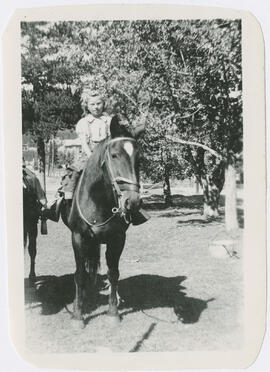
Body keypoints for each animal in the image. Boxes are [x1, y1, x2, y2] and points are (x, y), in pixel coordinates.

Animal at [61, 123, 141, 326]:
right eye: (114, 155)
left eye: (139, 158)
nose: (132, 202)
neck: (98, 200)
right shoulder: (78, 238)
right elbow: (79, 274)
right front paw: (77, 315)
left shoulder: (118, 239)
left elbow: (113, 273)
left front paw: (113, 312)